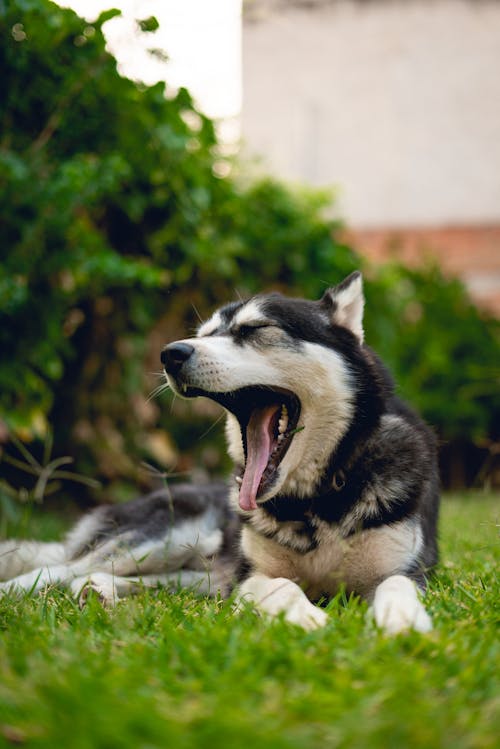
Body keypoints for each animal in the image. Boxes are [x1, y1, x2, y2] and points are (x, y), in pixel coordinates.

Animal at [0, 272, 438, 636]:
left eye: (254, 329)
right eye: (205, 333)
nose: (171, 353)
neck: (315, 499)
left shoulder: (408, 569)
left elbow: (398, 584)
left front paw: (401, 619)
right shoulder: (248, 576)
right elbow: (281, 586)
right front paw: (307, 617)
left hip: (196, 568)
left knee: (140, 580)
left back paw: (99, 590)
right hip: (164, 539)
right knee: (56, 568)